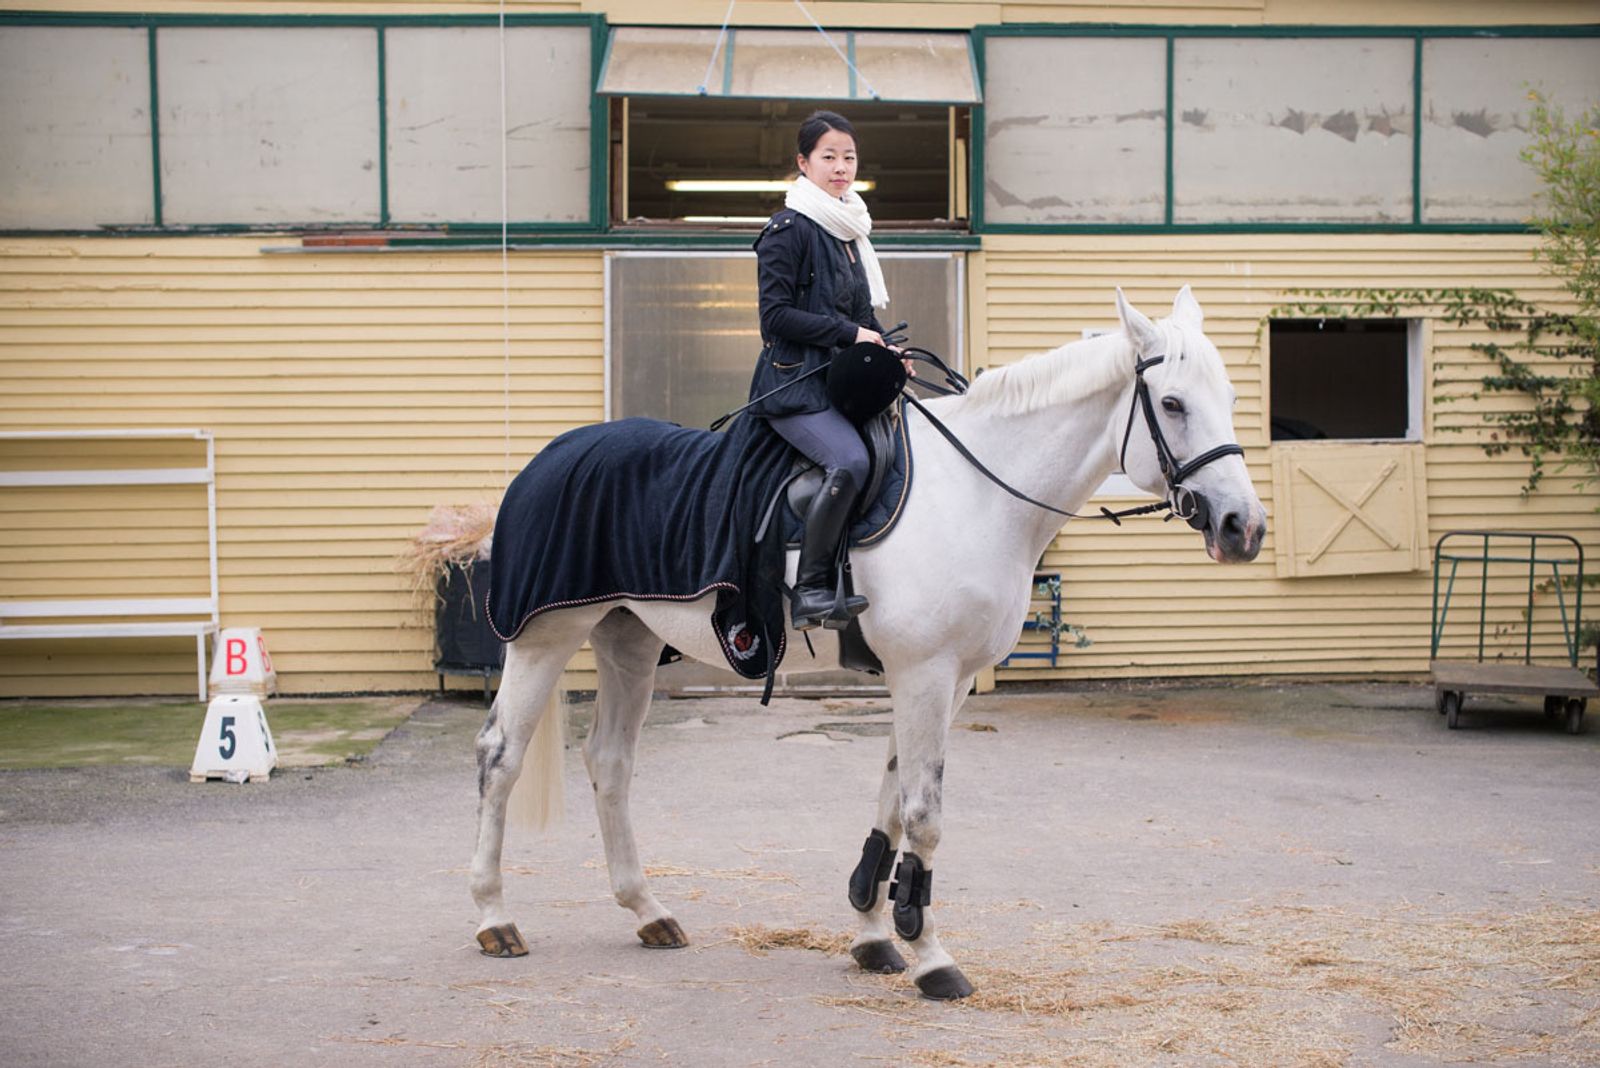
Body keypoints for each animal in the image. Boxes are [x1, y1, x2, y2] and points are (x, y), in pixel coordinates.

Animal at [467, 286, 1267, 1004]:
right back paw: (494, 917)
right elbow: (923, 815)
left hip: (627, 639)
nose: (1243, 527)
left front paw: (877, 933)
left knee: (610, 762)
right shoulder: (925, 673)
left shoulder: (945, 680)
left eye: (1229, 395)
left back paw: (647, 912)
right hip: (546, 637)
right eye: (1172, 404)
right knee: (501, 758)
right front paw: (932, 956)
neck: (976, 494)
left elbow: (891, 800)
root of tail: (552, 455)